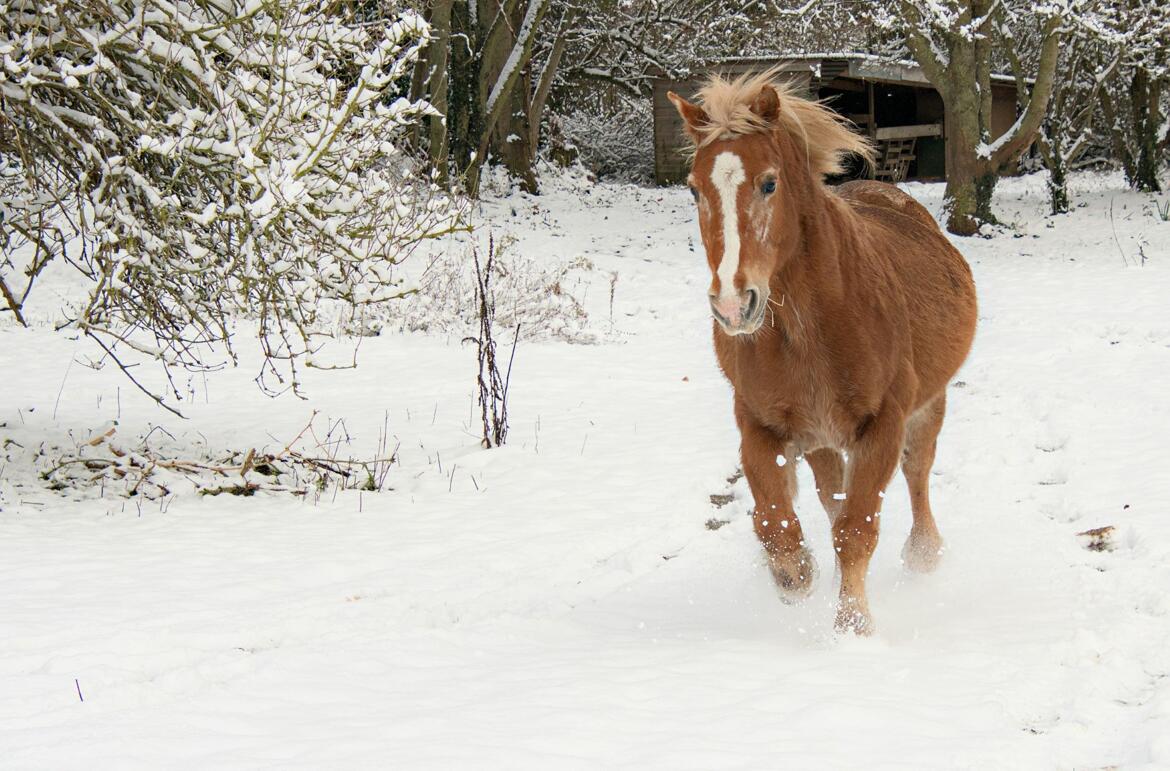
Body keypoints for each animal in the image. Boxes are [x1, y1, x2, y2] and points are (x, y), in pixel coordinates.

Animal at [669, 75, 978, 636]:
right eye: (695, 188)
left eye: (769, 184)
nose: (733, 304)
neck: (811, 328)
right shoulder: (762, 424)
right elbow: (778, 521)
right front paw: (795, 576)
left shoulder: (882, 426)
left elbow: (857, 528)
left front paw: (853, 626)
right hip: (822, 440)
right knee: (832, 501)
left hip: (928, 405)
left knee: (916, 474)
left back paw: (924, 553)